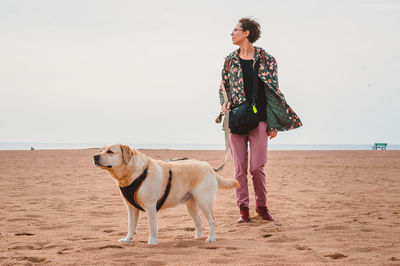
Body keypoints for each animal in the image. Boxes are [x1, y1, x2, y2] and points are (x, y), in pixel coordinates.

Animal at [92, 143, 239, 245]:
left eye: (110, 151)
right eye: (100, 150)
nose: (95, 156)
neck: (132, 174)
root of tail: (208, 166)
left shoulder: (150, 207)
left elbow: (152, 227)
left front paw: (152, 242)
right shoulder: (131, 208)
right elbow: (130, 226)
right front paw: (127, 240)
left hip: (204, 202)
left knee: (212, 220)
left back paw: (211, 238)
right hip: (190, 205)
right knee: (198, 221)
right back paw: (197, 237)